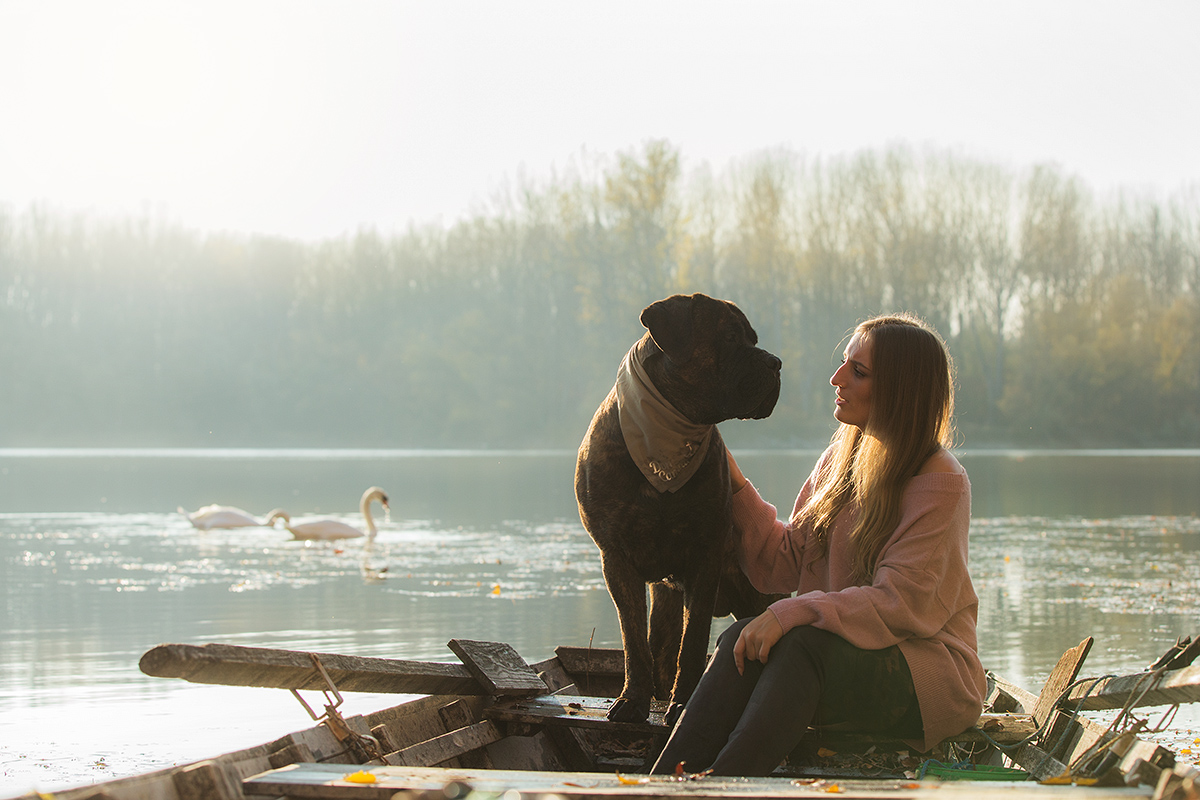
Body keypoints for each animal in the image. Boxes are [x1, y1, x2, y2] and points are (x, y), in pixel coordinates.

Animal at [573, 293, 782, 724]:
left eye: (753, 339)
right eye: (731, 336)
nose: (775, 362)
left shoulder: (705, 557)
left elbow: (694, 640)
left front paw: (683, 703)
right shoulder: (616, 559)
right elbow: (634, 640)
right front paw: (633, 701)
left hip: (759, 593)